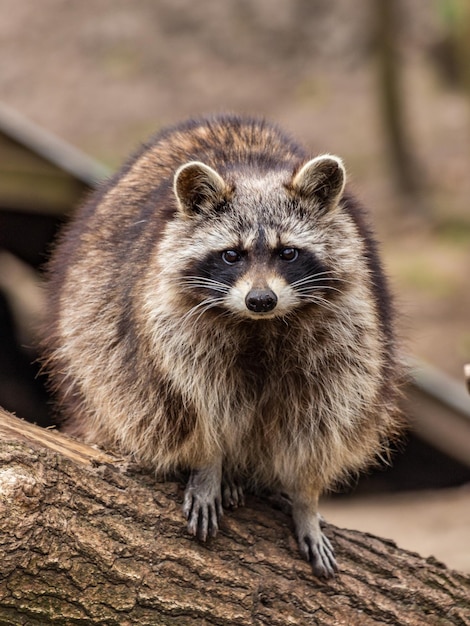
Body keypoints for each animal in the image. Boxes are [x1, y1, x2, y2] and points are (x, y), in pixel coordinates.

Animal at [44, 114, 402, 576]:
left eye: (288, 253)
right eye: (232, 255)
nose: (261, 299)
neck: (259, 326)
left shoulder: (349, 328)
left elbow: (322, 421)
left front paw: (306, 499)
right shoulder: (171, 324)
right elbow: (195, 402)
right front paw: (209, 464)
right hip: (89, 325)